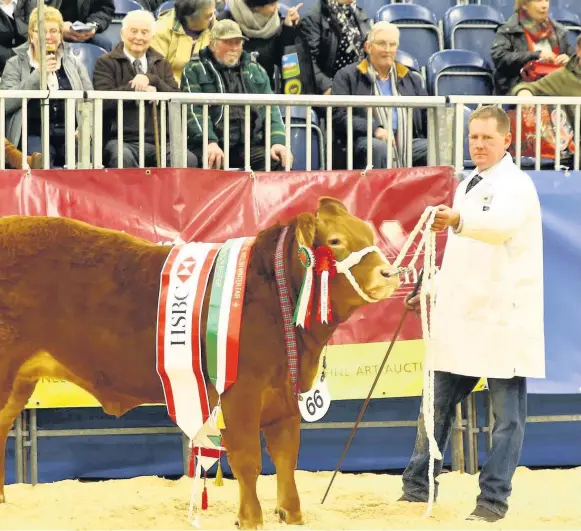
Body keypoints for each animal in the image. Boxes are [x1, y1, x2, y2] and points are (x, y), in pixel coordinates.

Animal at [0, 197, 398, 528]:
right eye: (335, 241)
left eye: (367, 233)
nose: (389, 273)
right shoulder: (242, 392)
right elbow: (248, 459)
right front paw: (250, 519)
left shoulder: (285, 394)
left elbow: (286, 458)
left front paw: (293, 514)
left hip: (19, 382)